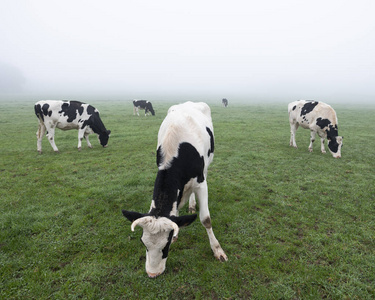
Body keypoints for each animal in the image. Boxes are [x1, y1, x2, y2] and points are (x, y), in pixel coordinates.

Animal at [123, 101, 229, 278]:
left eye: (165, 246)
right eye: (143, 243)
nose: (152, 273)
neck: (176, 149)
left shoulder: (201, 183)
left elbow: (206, 219)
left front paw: (217, 250)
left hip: (207, 163)